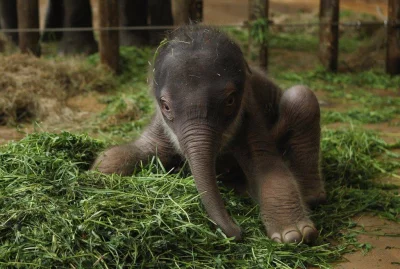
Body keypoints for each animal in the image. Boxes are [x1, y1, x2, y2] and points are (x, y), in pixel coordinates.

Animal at [92, 25, 326, 243]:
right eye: (166, 106)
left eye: (230, 100)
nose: (239, 231)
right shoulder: (159, 125)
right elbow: (134, 151)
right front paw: (98, 171)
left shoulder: (251, 114)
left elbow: (269, 168)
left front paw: (295, 234)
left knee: (301, 98)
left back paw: (310, 197)